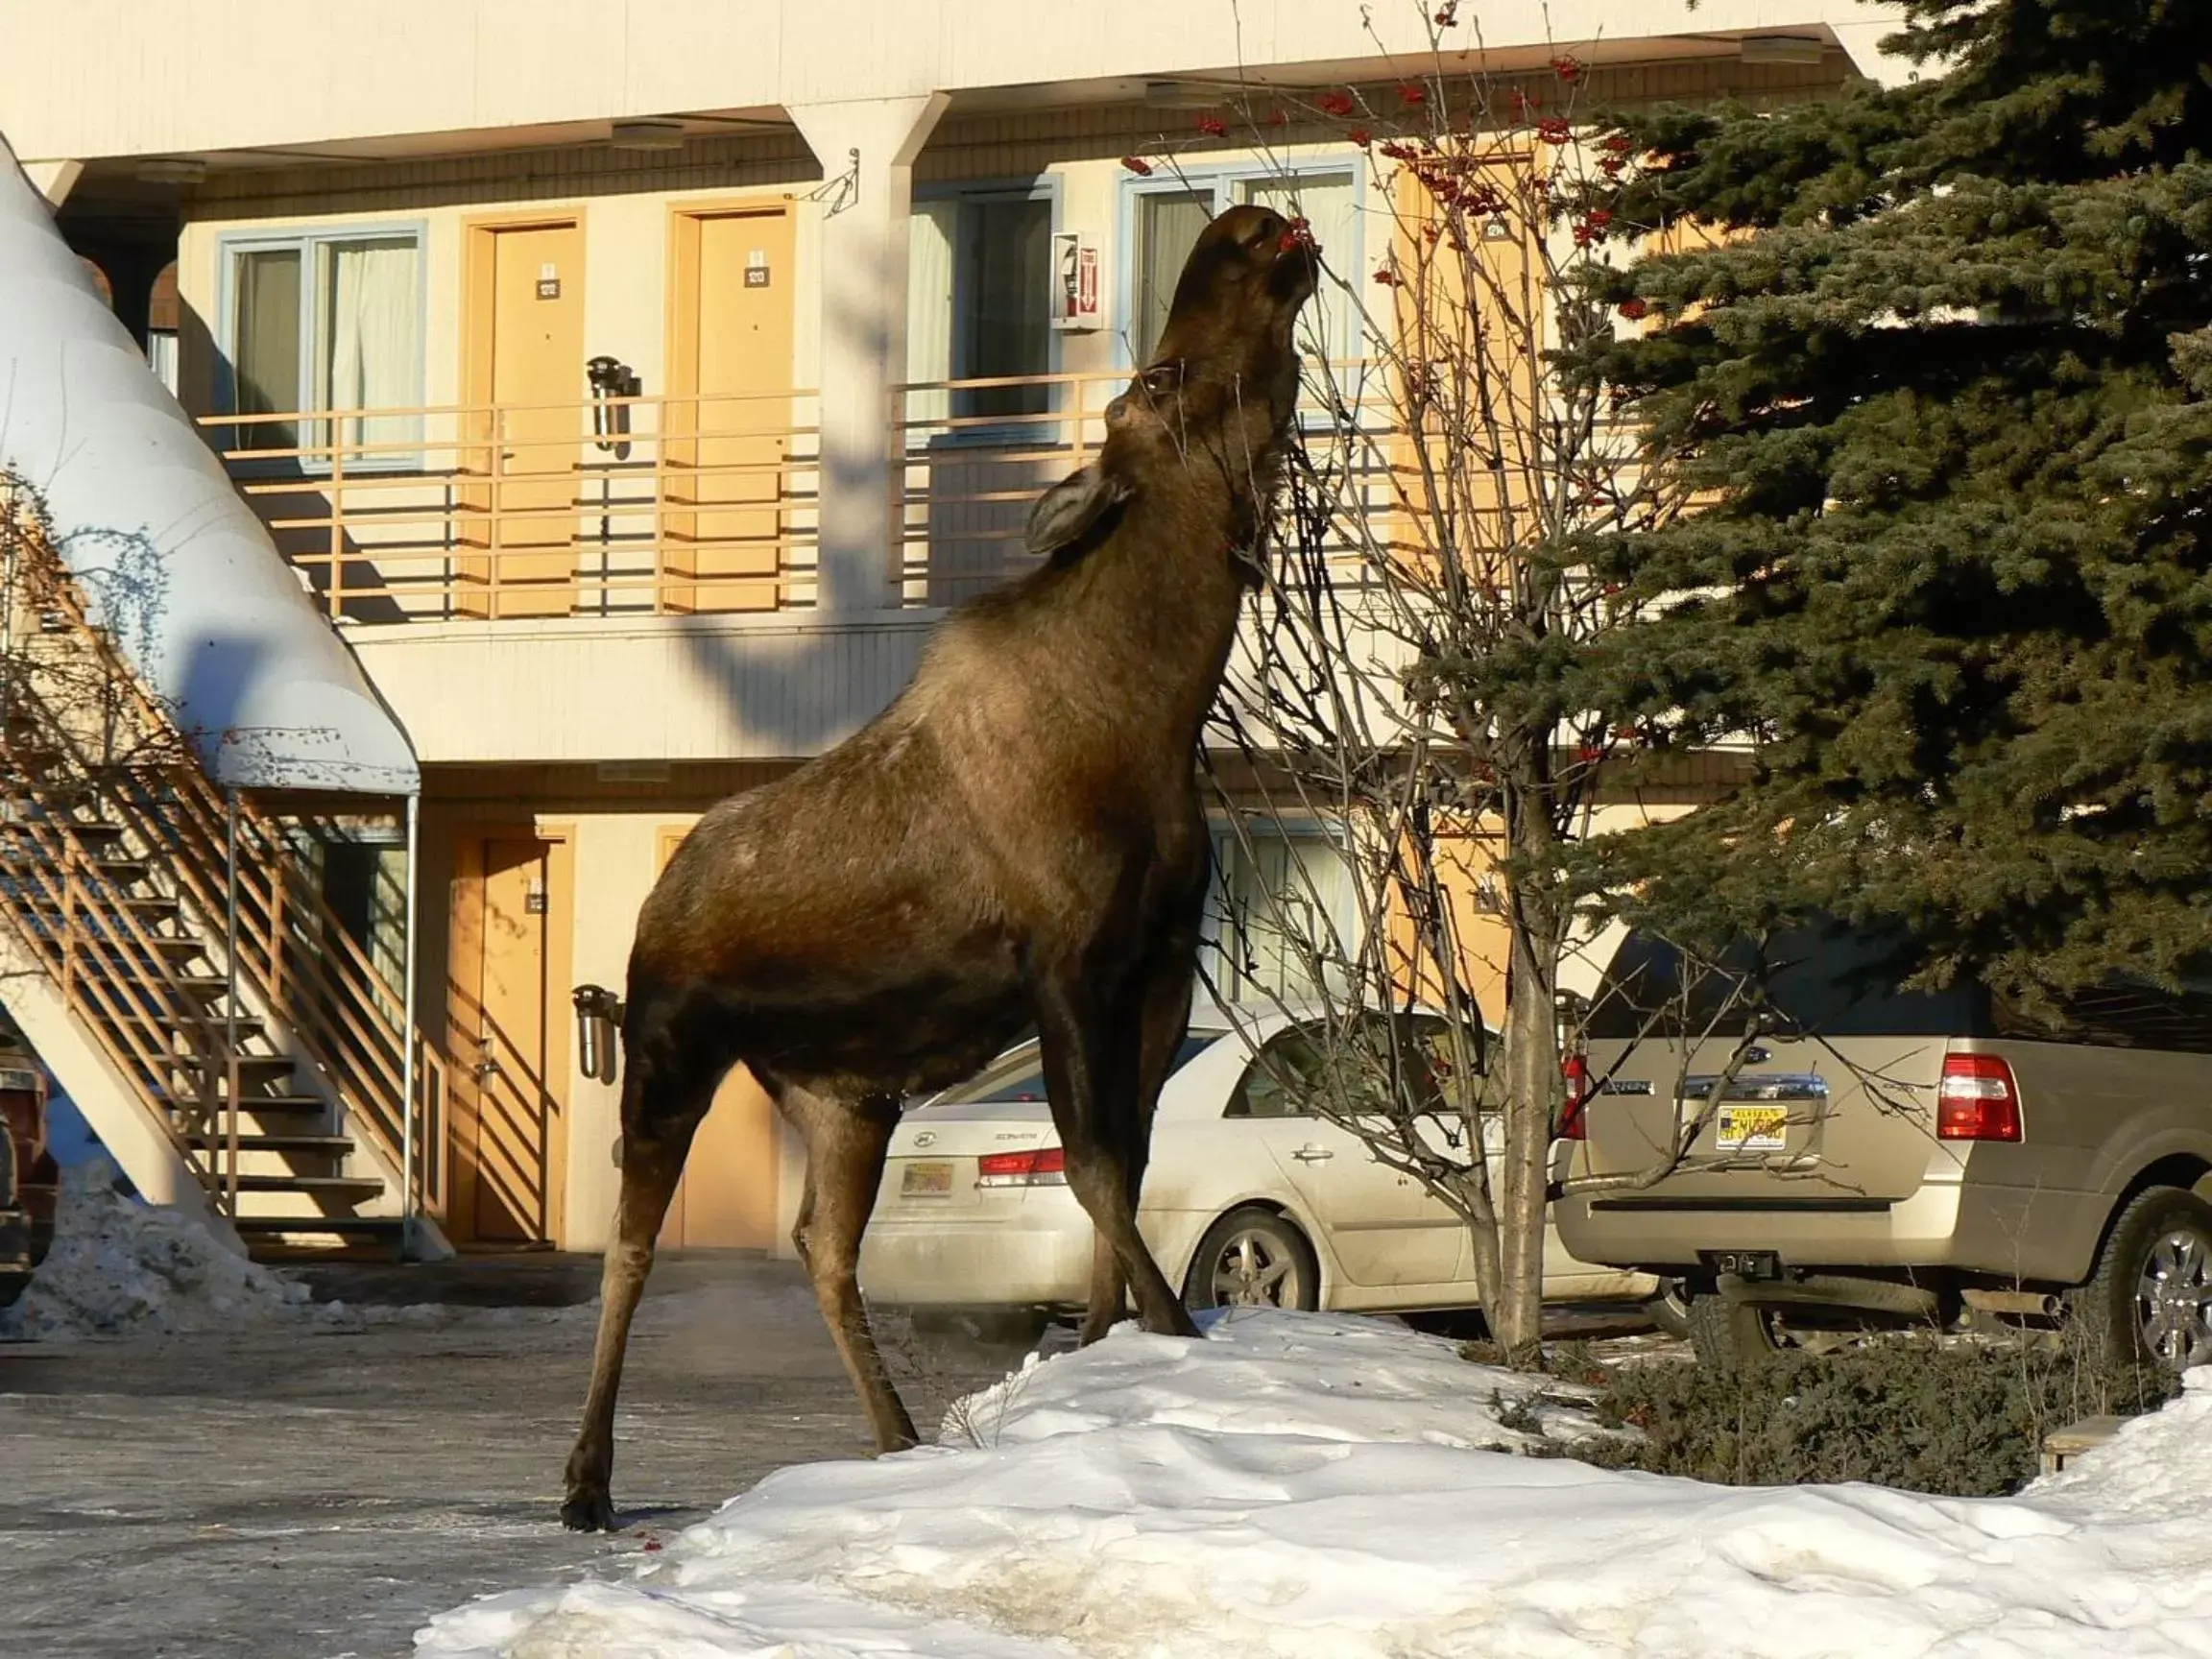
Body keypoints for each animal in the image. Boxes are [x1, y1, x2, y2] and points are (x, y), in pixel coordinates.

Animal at [562, 204, 1309, 1530]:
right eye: (1161, 380)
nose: (1244, 224)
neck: (1158, 710)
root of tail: (658, 892)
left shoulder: (1162, 960)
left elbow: (1127, 1162)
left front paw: (1111, 1341)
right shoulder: (1067, 964)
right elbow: (1097, 1165)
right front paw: (1172, 1335)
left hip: (843, 1092)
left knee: (821, 1244)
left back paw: (895, 1432)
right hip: (666, 1050)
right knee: (632, 1249)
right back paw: (588, 1476)